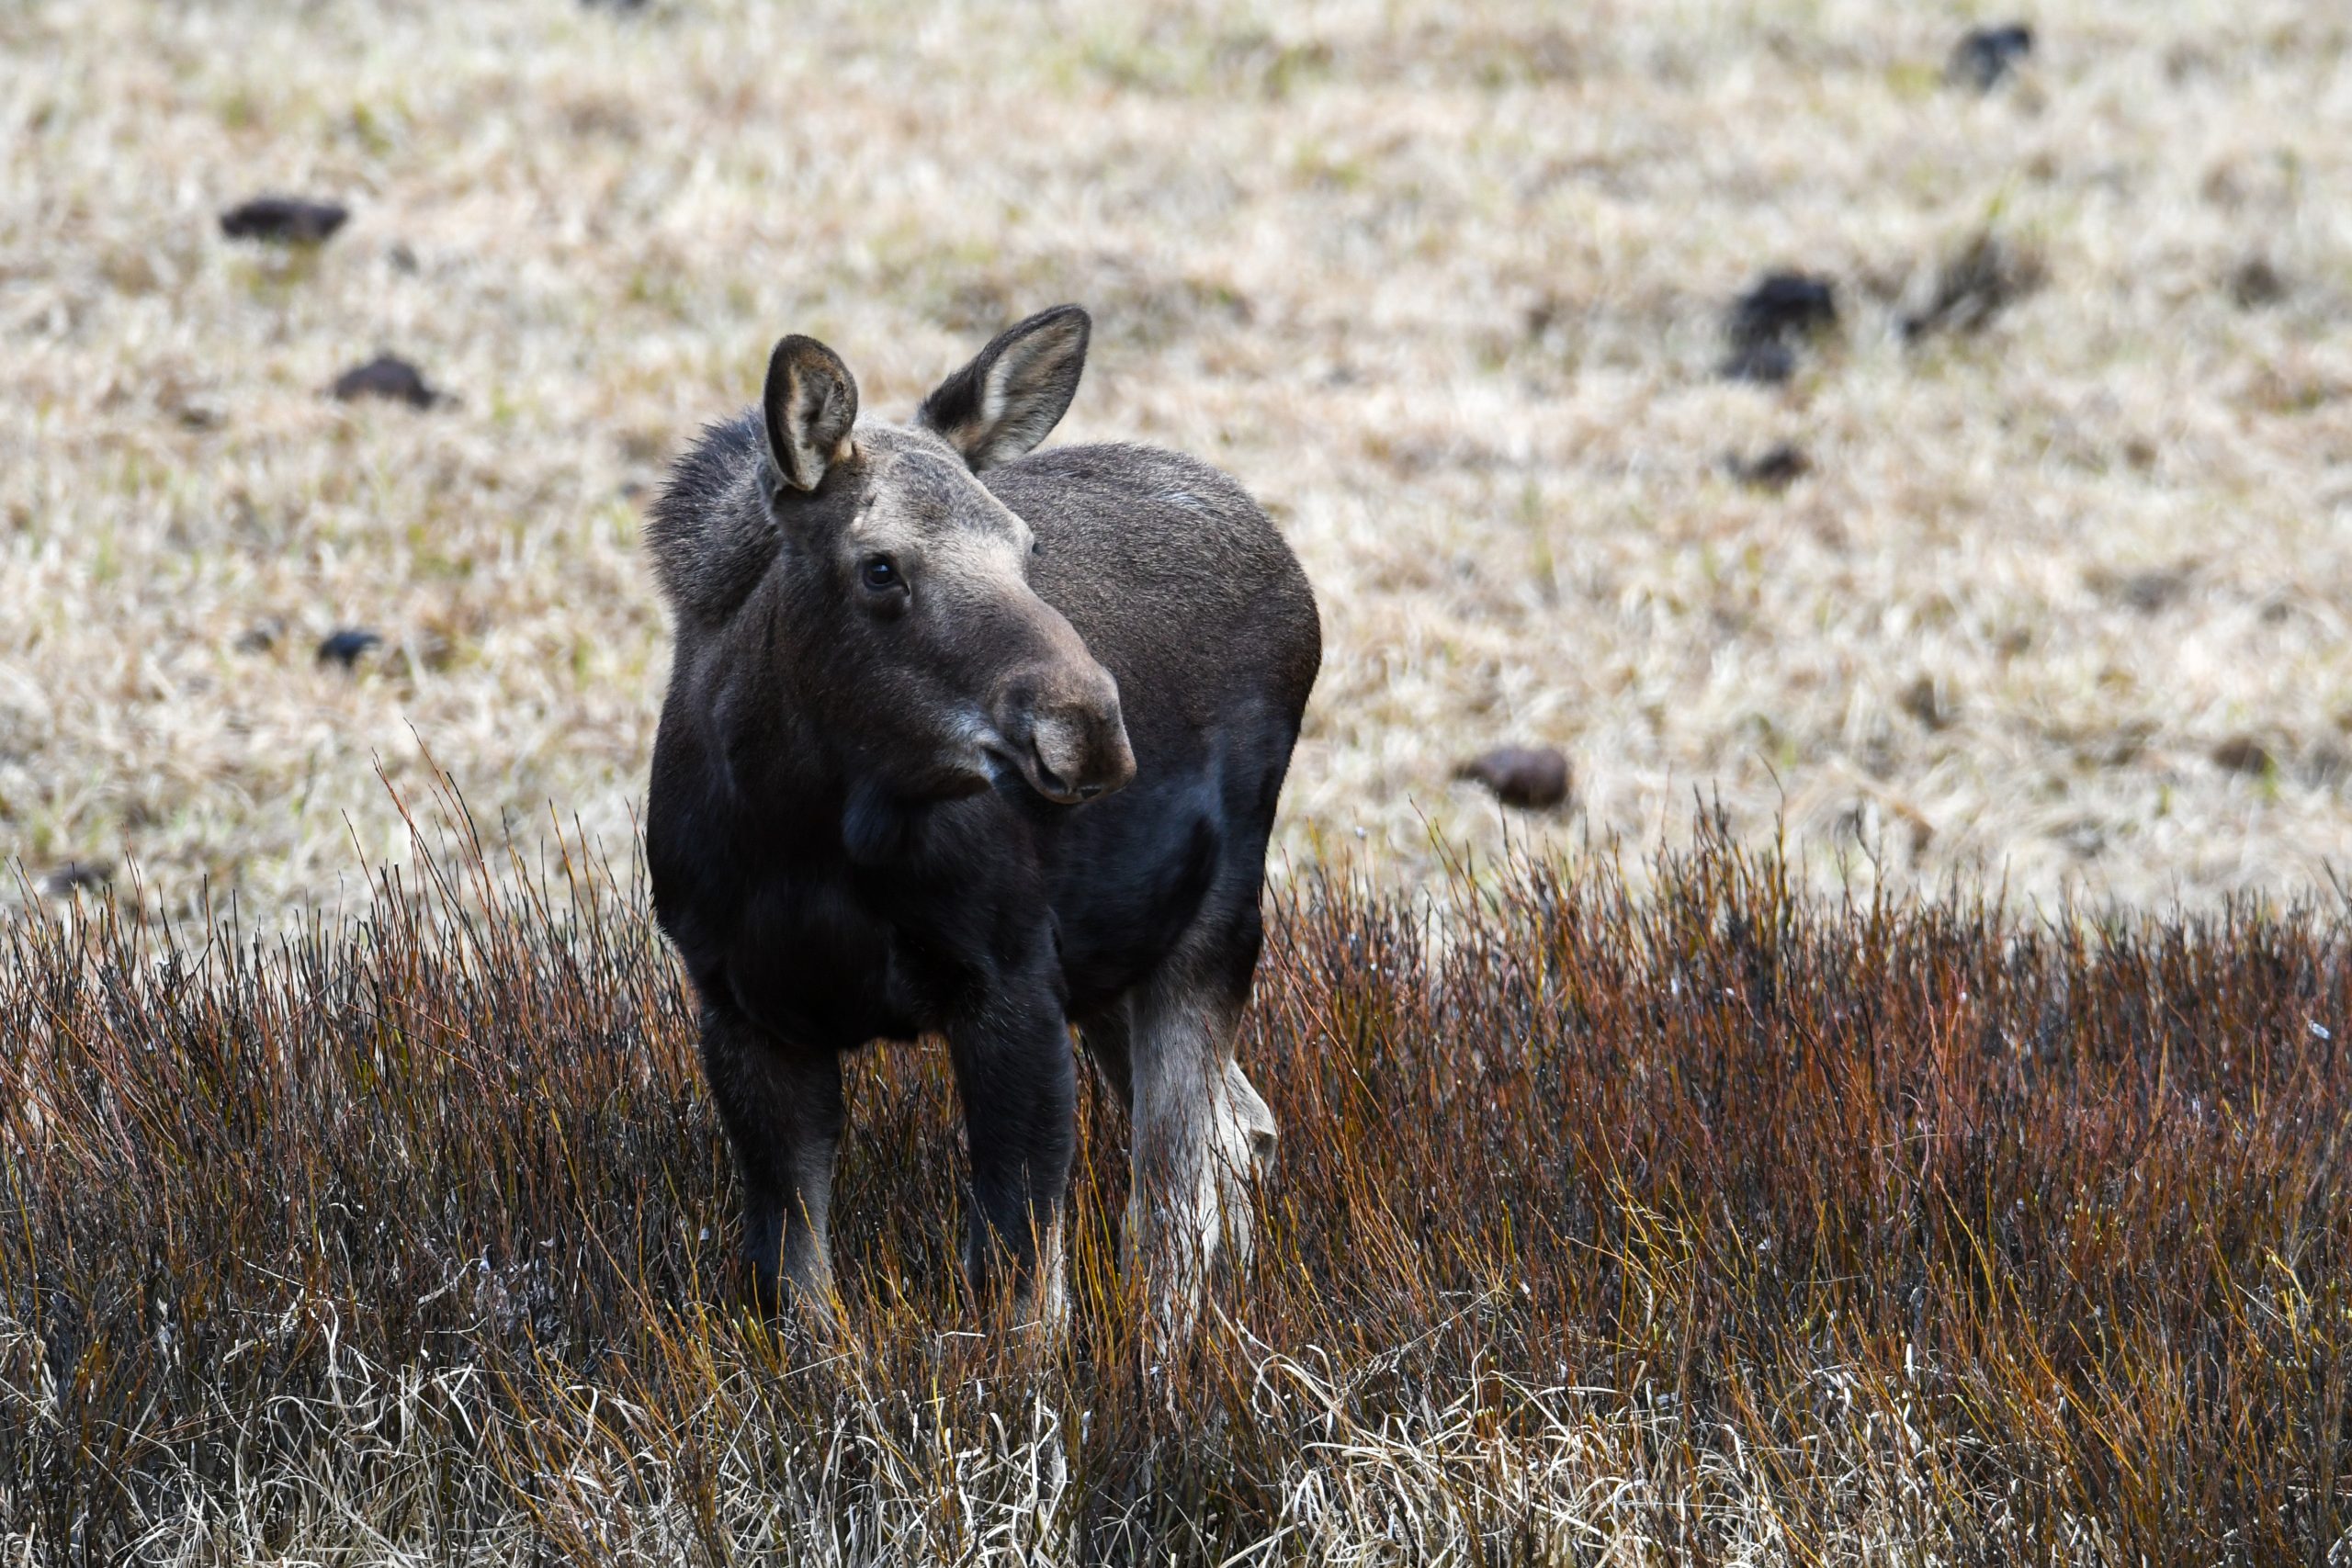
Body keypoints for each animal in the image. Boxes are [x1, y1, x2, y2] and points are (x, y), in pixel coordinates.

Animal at [644, 305, 1317, 1335]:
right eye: (880, 567)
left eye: (1027, 550)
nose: (1088, 728)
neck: (802, 835)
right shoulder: (738, 1002)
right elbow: (795, 1288)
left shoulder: (1008, 980)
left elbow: (1021, 1289)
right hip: (1114, 959)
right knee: (1241, 1131)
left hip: (1216, 923)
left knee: (1175, 1191)